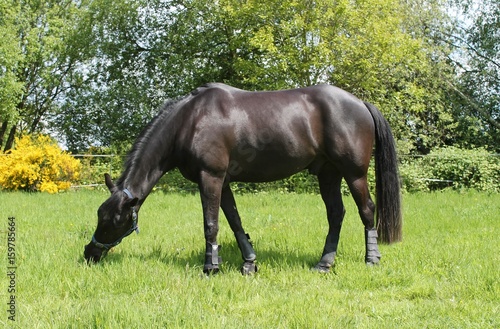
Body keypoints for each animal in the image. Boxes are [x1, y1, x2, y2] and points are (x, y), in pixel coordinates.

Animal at [83, 82, 402, 274]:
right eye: (99, 214)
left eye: (114, 221)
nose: (89, 253)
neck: (190, 121)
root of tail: (360, 103)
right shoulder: (222, 181)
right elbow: (234, 220)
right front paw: (249, 263)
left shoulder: (210, 177)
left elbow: (211, 223)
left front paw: (210, 267)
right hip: (328, 174)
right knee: (336, 214)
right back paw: (324, 263)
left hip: (354, 173)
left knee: (367, 210)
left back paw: (372, 258)